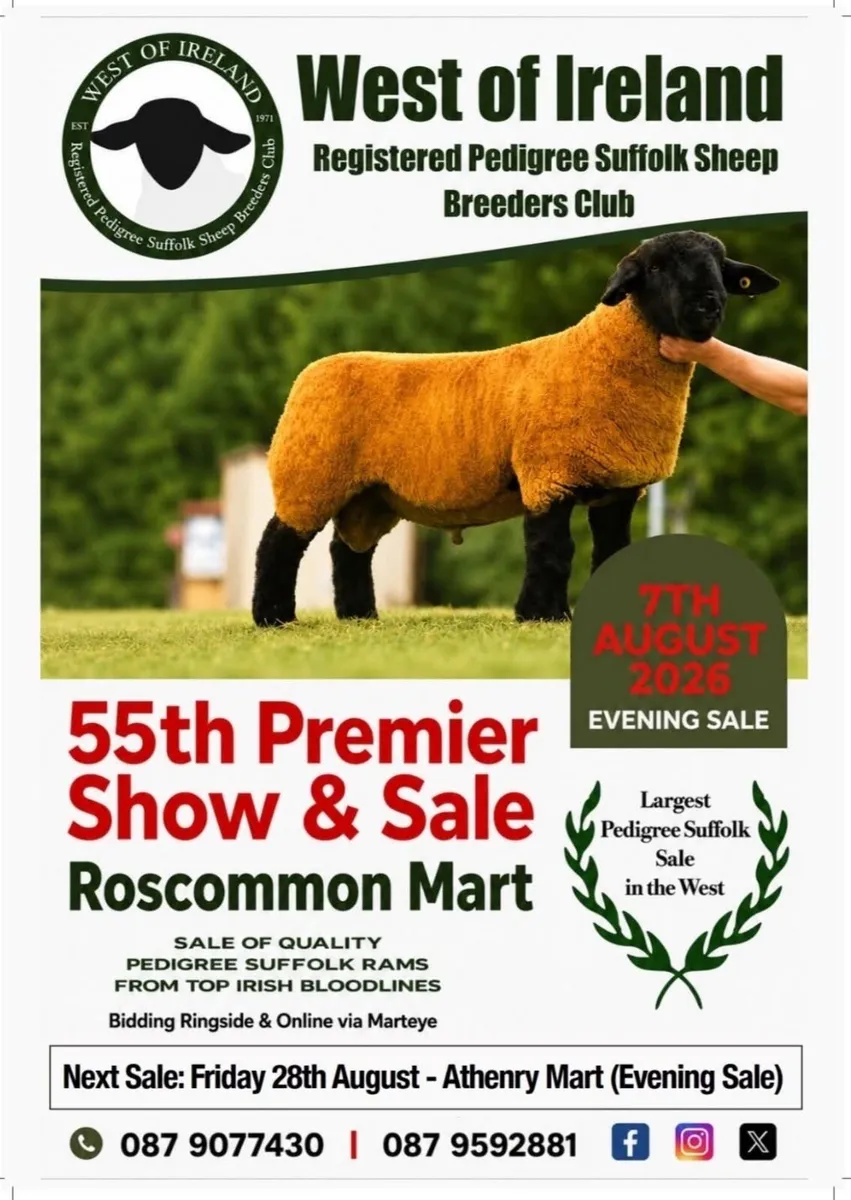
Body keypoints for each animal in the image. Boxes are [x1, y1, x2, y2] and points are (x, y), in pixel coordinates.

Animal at [252, 230, 779, 626]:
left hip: (371, 496)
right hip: (311, 473)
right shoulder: (549, 473)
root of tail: (313, 372)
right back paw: (273, 618)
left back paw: (360, 617)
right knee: (278, 544)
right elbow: (553, 549)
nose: (707, 306)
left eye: (722, 268)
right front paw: (543, 615)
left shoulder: (617, 488)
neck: (601, 357)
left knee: (348, 551)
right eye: (654, 269)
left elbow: (611, 550)